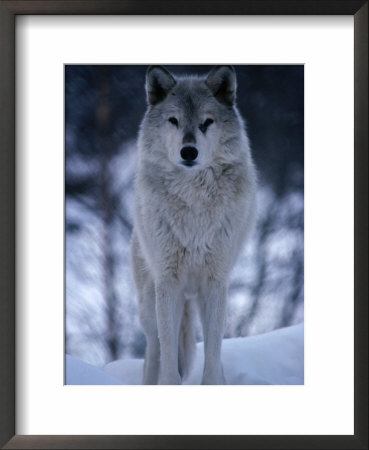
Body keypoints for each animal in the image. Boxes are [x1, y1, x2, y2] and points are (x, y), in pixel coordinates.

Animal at [130, 65, 256, 384]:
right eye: (174, 121)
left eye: (206, 122)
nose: (189, 152)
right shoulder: (168, 282)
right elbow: (168, 355)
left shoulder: (215, 283)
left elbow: (213, 353)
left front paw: (214, 383)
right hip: (149, 303)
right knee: (153, 351)